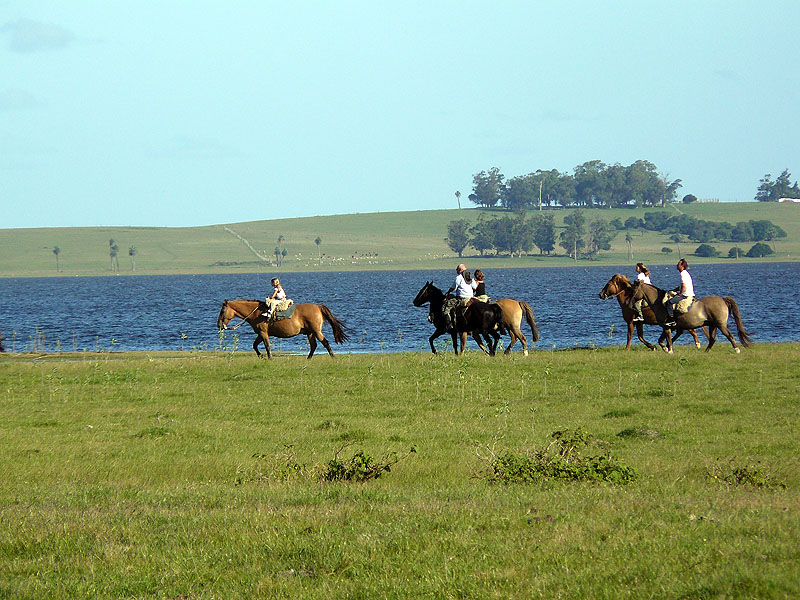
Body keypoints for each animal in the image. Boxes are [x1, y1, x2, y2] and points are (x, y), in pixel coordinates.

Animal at [216, 298, 350, 358]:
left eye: (222, 311)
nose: (218, 324)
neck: (256, 313)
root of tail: (318, 307)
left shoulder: (263, 333)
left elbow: (267, 346)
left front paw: (269, 358)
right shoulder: (260, 334)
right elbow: (254, 345)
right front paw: (261, 356)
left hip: (316, 331)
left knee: (325, 342)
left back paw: (333, 357)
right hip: (310, 332)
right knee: (314, 346)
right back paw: (308, 359)